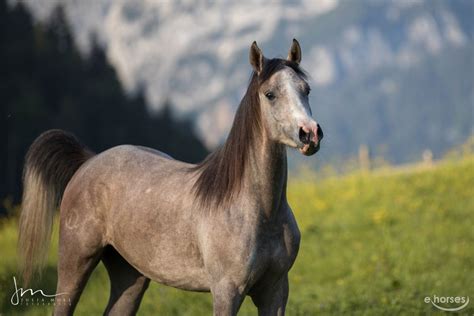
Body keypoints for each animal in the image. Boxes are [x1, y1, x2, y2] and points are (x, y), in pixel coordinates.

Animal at [17, 40, 322, 316]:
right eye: (270, 94)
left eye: (306, 90)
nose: (310, 134)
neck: (259, 211)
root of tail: (88, 161)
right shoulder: (227, 291)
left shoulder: (275, 291)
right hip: (75, 264)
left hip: (130, 276)